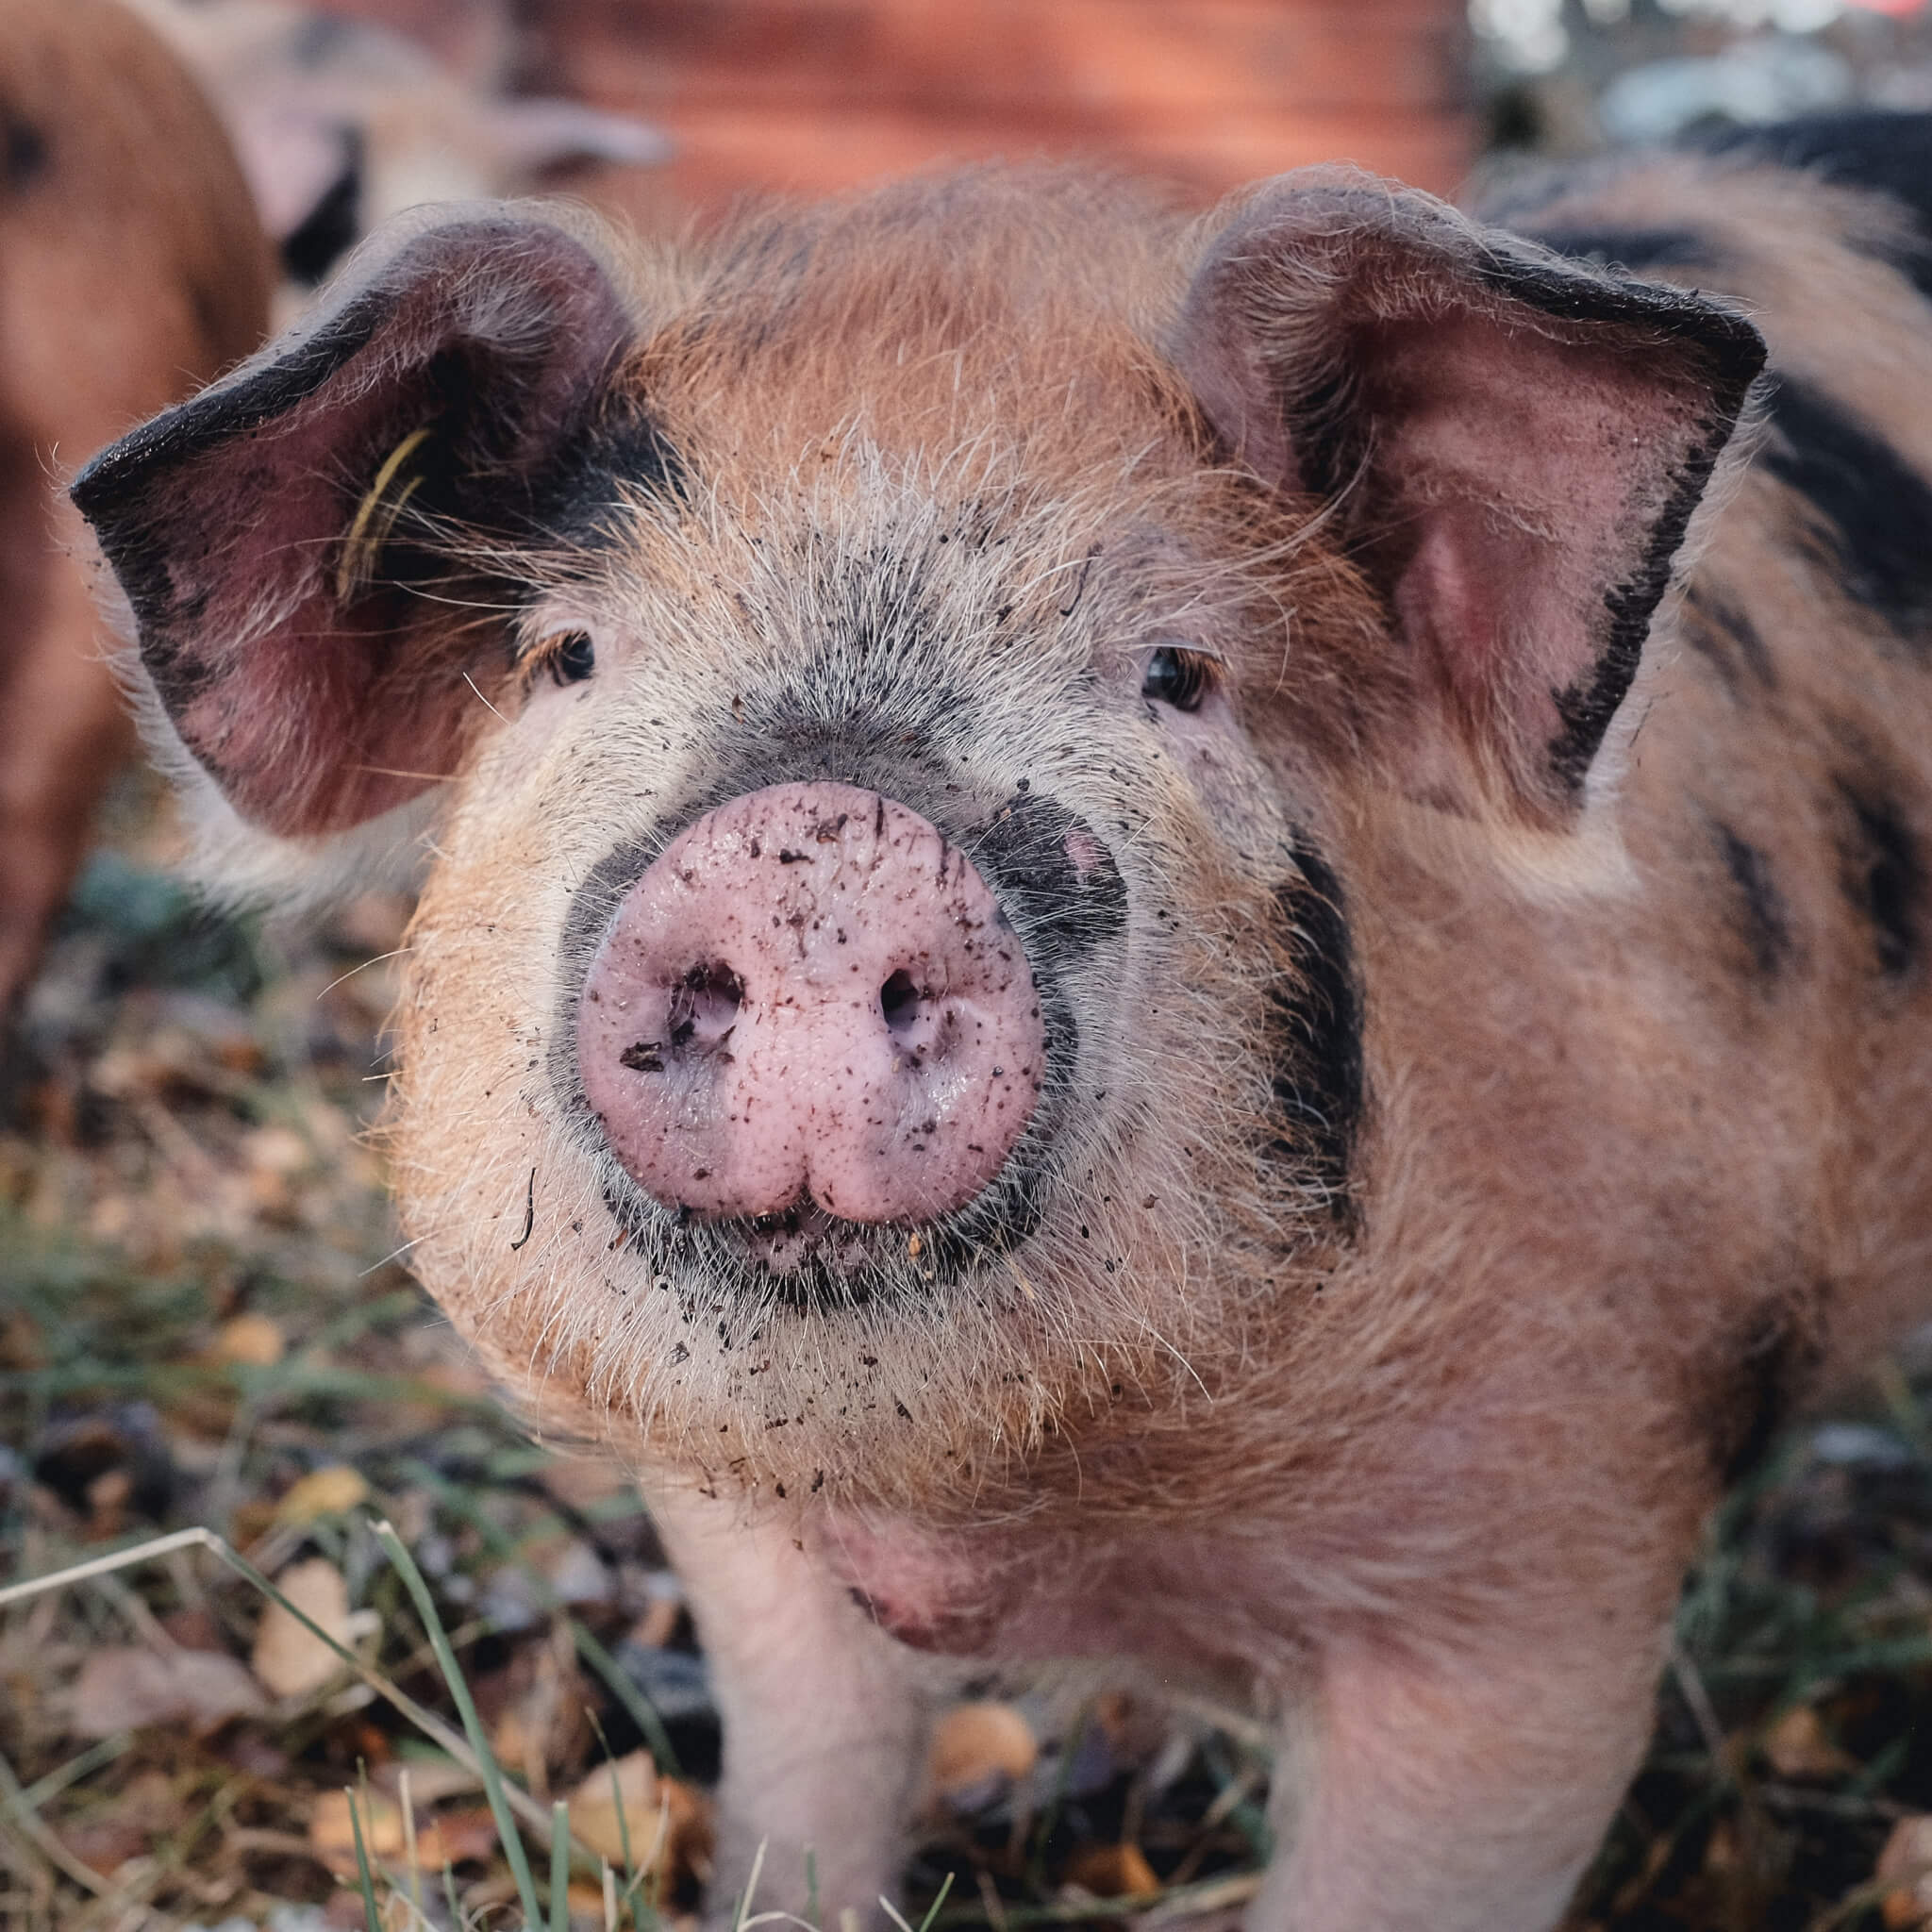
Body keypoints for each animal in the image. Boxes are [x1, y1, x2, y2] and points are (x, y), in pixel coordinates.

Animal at [70, 111, 1932, 1931]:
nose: (818, 844)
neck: (1022, 1517)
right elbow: (810, 1773)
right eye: (565, 657)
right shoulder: (740, 1535)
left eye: (1178, 675)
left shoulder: (1553, 1564)